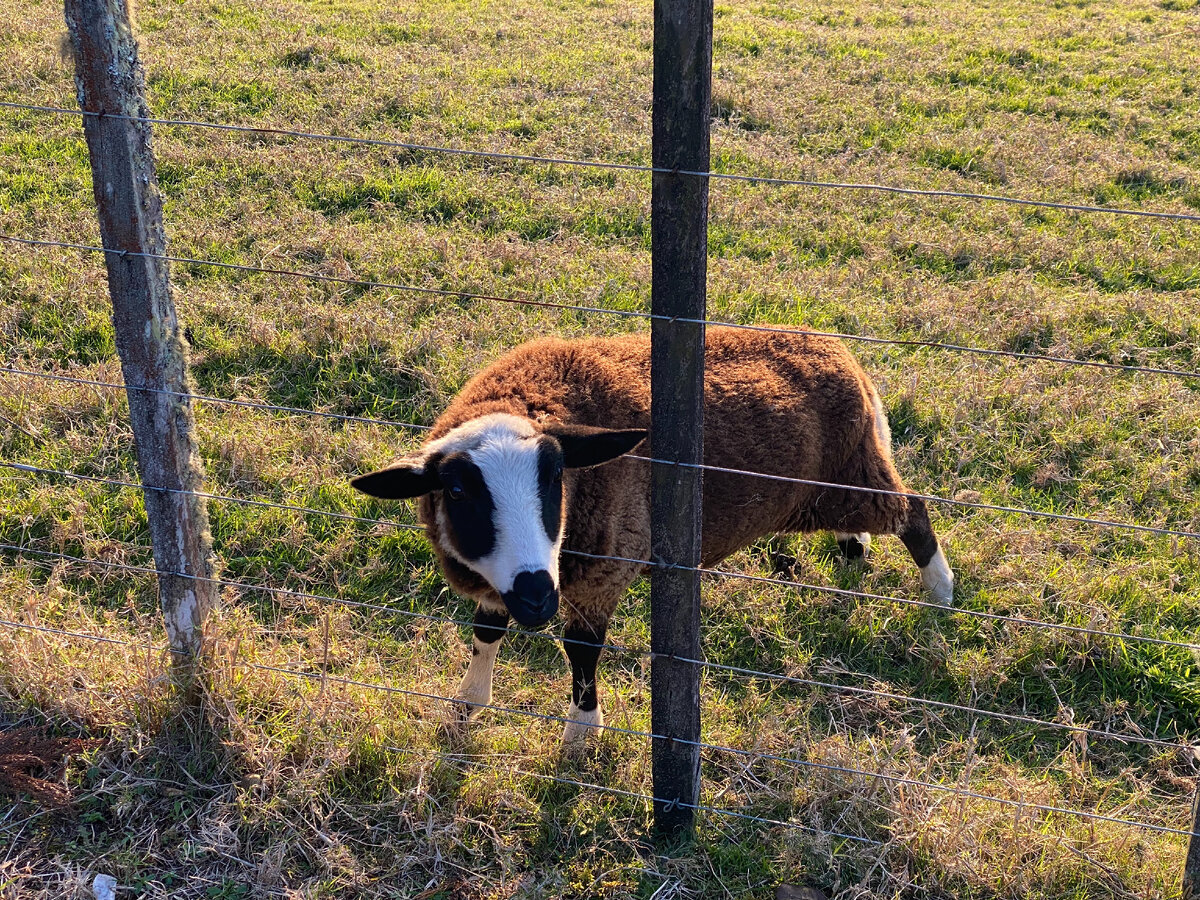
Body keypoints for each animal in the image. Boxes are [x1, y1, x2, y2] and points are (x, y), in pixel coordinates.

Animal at [350, 324, 950, 748]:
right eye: (456, 492)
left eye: (555, 477)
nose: (538, 596)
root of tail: (842, 353)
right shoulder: (503, 580)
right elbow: (486, 634)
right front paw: (468, 703)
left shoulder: (600, 572)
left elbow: (581, 651)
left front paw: (581, 732)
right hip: (833, 486)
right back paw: (855, 558)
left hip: (852, 475)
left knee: (914, 513)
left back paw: (940, 592)